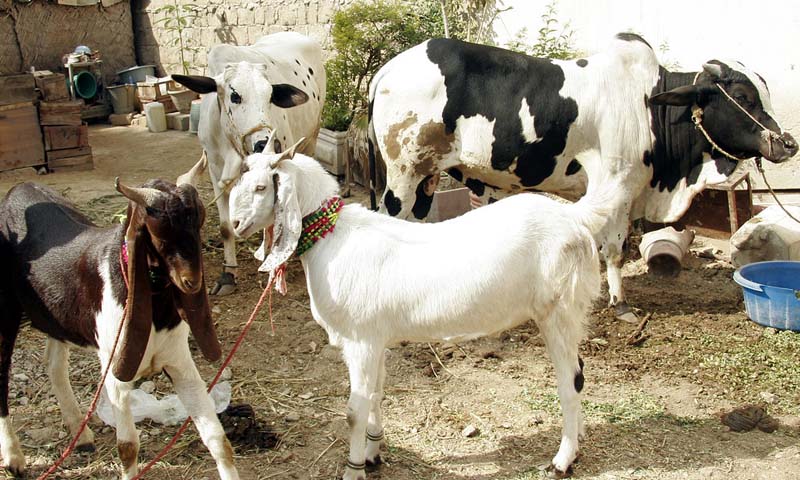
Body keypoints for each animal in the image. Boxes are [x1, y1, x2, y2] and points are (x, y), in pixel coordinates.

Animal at [0, 161, 238, 480]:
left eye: (198, 224)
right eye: (159, 234)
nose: (192, 282)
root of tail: (17, 189)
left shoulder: (180, 362)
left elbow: (218, 439)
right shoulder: (115, 372)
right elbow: (128, 448)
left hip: (57, 316)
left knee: (54, 364)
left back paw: (81, 434)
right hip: (5, 311)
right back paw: (14, 457)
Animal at [174, 32, 325, 295]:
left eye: (270, 96)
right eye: (235, 96)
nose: (265, 142)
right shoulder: (215, 172)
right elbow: (225, 227)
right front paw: (228, 274)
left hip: (312, 139)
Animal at [228, 140, 608, 479]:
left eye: (261, 187)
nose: (234, 225)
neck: (334, 238)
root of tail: (574, 216)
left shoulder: (360, 340)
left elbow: (354, 410)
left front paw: (353, 470)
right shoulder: (375, 340)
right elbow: (376, 395)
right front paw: (372, 454)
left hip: (559, 310)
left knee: (571, 379)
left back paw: (563, 459)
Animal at [368, 33, 797, 322]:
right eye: (742, 97)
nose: (787, 143)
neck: (650, 107)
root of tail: (386, 70)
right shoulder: (617, 186)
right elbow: (614, 249)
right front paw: (620, 304)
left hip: (425, 178)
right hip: (403, 177)